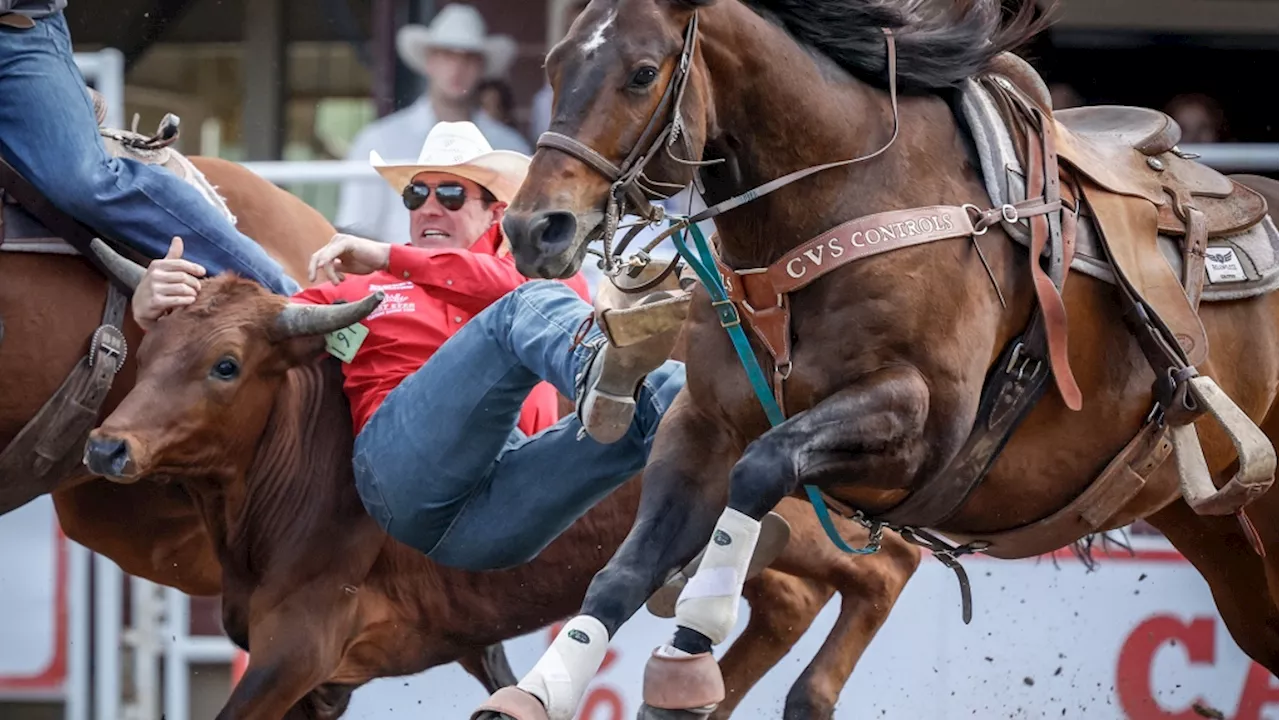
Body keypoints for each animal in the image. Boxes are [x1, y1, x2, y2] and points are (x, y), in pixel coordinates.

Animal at [486, 1, 1280, 717]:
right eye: (555, 64)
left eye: (643, 72)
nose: (534, 227)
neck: (842, 202)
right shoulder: (705, 421)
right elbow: (624, 570)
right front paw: (539, 692)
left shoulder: (919, 424)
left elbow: (763, 467)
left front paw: (688, 654)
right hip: (1219, 535)